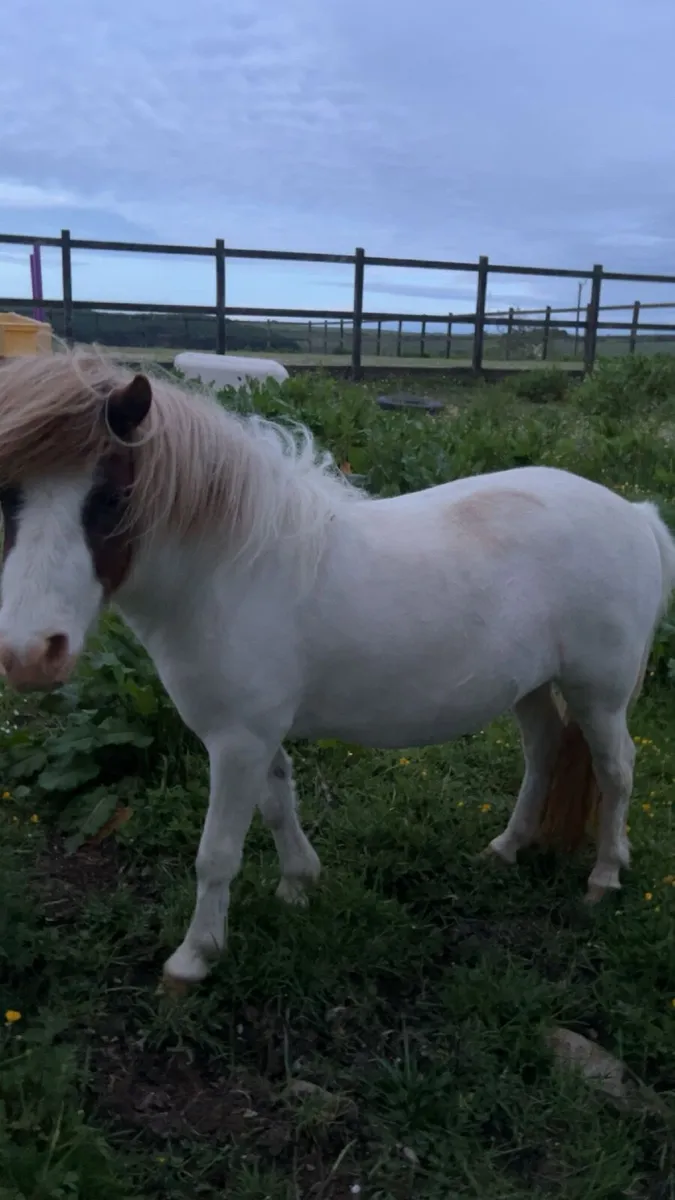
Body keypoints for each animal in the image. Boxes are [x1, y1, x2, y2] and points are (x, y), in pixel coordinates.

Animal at [0, 348, 673, 993]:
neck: (229, 571)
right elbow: (278, 804)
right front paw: (298, 884)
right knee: (545, 752)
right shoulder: (256, 737)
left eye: (111, 499)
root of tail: (636, 514)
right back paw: (507, 847)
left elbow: (216, 853)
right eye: (7, 494)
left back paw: (604, 876)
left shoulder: (237, 742)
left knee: (617, 770)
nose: (31, 654)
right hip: (531, 687)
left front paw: (194, 958)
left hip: (599, 694)